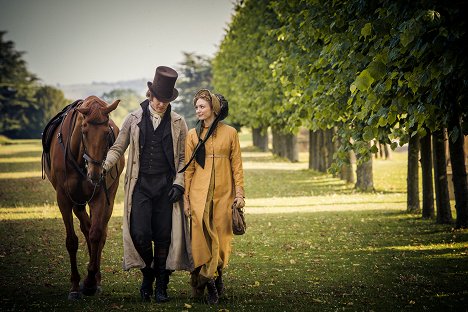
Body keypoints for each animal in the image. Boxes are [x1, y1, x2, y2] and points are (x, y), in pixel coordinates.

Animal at [42, 95, 124, 300]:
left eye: (107, 132)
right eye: (84, 131)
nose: (95, 173)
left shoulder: (100, 197)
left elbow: (96, 235)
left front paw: (89, 282)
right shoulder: (63, 198)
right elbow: (72, 241)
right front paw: (74, 286)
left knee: (98, 231)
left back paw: (97, 279)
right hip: (77, 201)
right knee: (85, 225)